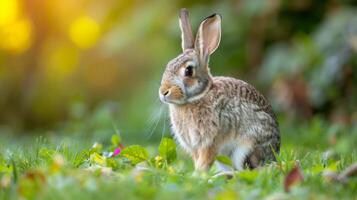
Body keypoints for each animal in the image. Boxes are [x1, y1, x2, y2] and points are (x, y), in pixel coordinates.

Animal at [158, 9, 278, 172]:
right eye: (168, 65)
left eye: (188, 71)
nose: (163, 92)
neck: (199, 96)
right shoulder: (195, 146)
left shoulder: (211, 141)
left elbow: (205, 160)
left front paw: (198, 174)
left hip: (246, 149)